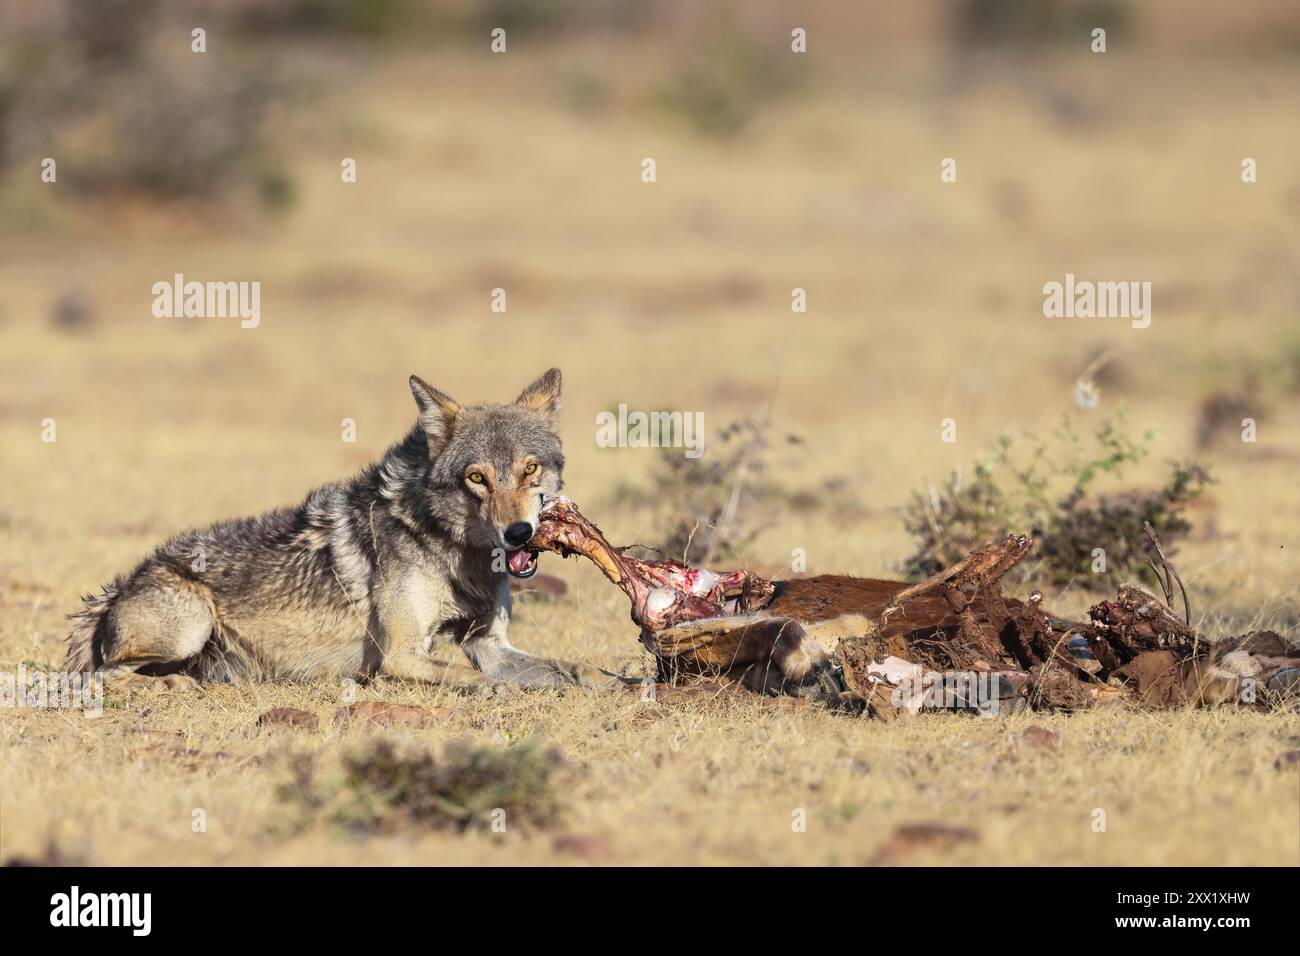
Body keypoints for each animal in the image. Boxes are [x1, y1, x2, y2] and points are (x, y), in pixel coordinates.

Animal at [65, 369, 618, 691]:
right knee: (105, 677)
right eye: (476, 478)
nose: (518, 533)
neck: (452, 551)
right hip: (190, 623)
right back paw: (174, 685)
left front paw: (618, 679)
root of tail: (120, 586)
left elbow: (573, 667)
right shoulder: (398, 657)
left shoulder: (489, 644)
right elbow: (474, 678)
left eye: (530, 469)